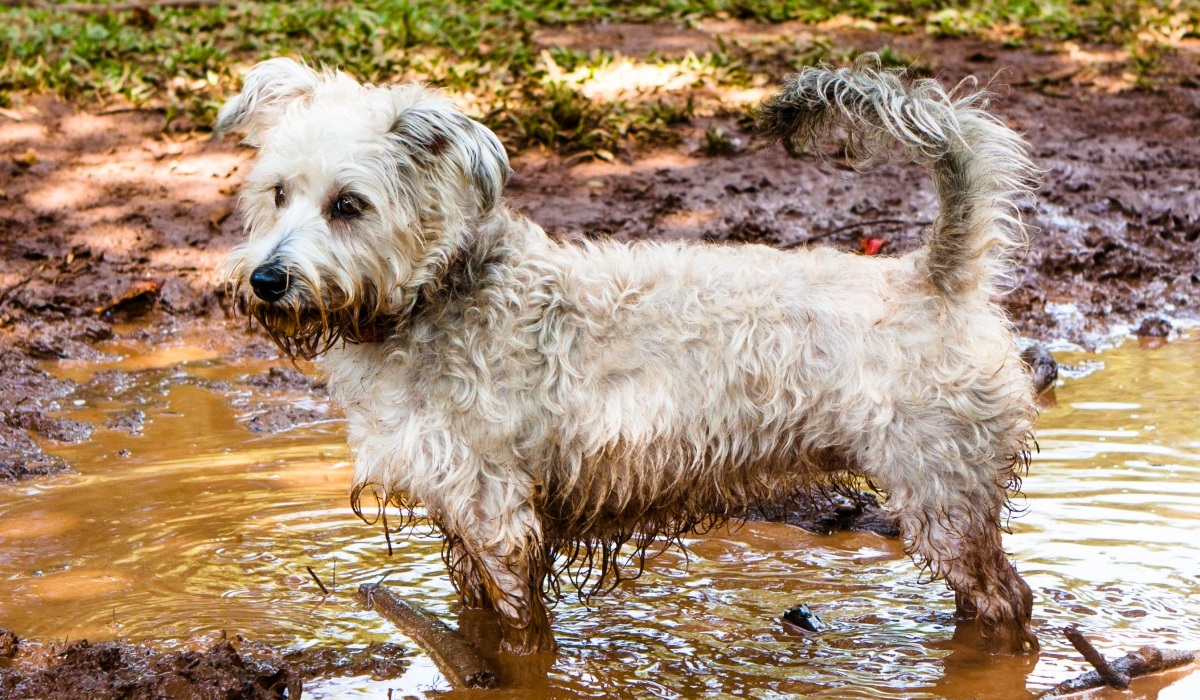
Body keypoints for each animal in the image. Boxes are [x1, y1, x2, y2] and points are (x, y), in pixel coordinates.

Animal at [216, 56, 1041, 657]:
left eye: (349, 206)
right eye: (278, 193)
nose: (267, 281)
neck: (429, 296)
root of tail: (936, 278)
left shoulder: (499, 519)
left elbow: (521, 635)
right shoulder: (461, 520)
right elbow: (476, 612)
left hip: (943, 495)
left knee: (1007, 601)